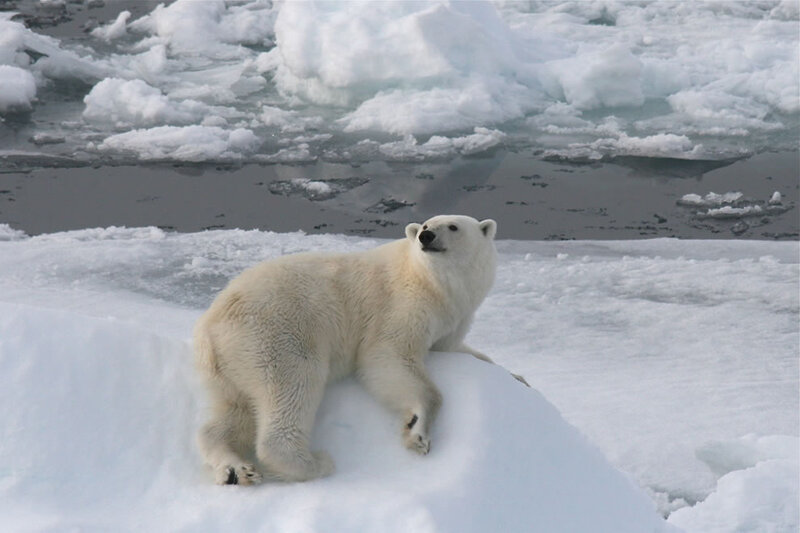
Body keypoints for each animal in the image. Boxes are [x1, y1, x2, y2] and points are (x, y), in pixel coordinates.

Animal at [193, 214, 526, 485]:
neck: (435, 285)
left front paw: (519, 378)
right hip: (276, 334)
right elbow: (388, 355)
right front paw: (417, 430)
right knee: (293, 386)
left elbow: (455, 348)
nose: (426, 236)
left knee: (234, 412)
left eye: (453, 226)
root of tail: (208, 328)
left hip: (231, 364)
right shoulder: (403, 303)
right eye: (426, 224)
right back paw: (313, 463)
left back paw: (236, 469)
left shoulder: (452, 317)